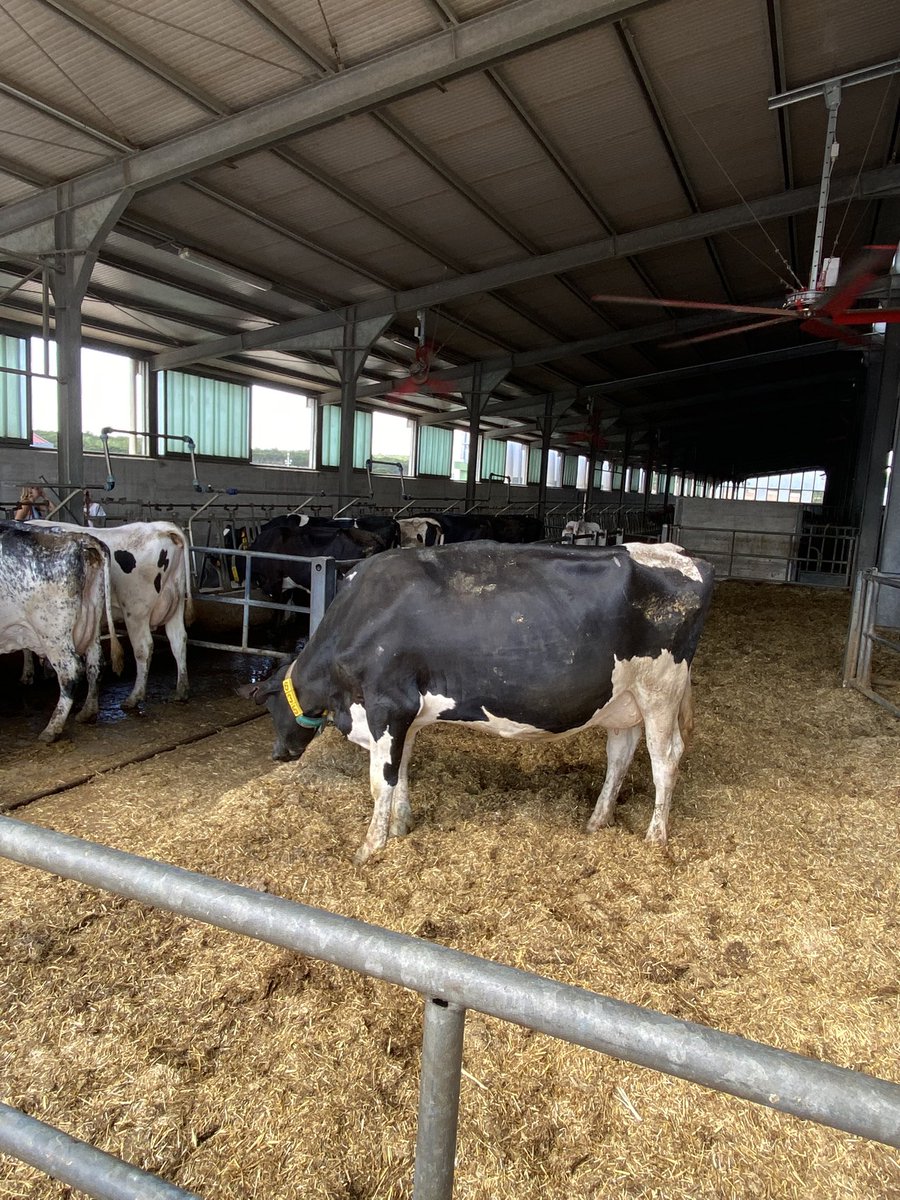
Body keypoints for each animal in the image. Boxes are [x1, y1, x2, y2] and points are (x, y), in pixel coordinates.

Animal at [0, 522, 124, 741]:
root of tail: (77, 539)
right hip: (92, 619)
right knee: (95, 664)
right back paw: (87, 712)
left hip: (53, 633)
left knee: (71, 670)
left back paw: (52, 728)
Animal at [33, 519, 193, 708]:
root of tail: (161, 527)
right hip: (175, 603)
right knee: (178, 640)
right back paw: (181, 691)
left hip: (136, 612)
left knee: (143, 648)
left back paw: (134, 697)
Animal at [243, 541, 715, 863]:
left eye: (269, 708)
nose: (279, 753)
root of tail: (679, 553)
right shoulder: (406, 717)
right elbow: (403, 770)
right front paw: (400, 826)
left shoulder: (387, 705)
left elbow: (381, 781)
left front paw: (370, 847)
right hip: (624, 699)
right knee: (620, 755)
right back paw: (597, 821)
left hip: (660, 689)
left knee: (665, 759)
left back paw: (655, 837)